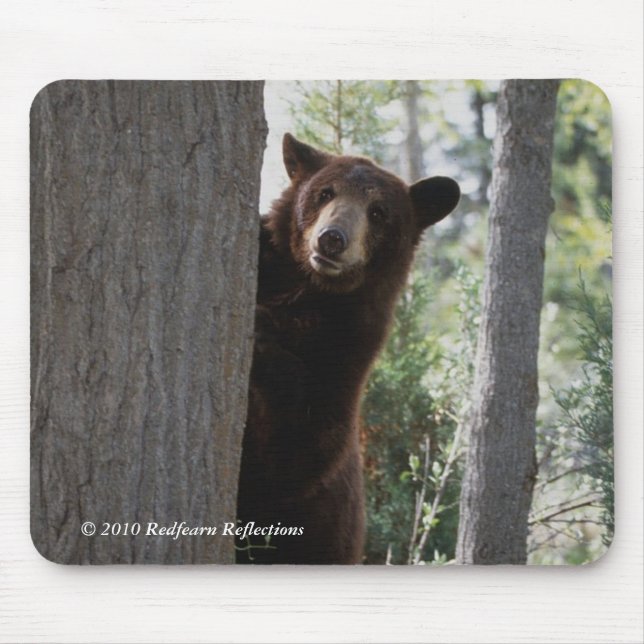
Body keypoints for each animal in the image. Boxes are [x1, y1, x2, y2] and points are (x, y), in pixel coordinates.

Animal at [236, 133, 460, 564]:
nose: (331, 239)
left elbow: (302, 450)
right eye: (325, 193)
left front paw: (262, 330)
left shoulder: (349, 352)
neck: (309, 292)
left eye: (378, 212)